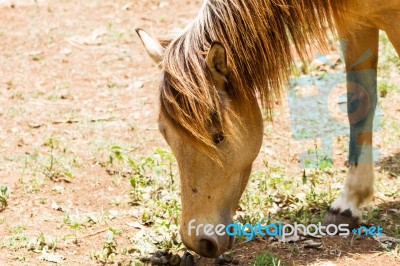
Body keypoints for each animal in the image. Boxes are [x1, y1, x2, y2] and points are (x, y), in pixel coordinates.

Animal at [136, 0, 398, 258]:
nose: (199, 242)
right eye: (165, 135)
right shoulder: (354, 21)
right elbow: (359, 103)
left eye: (218, 137)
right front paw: (349, 203)